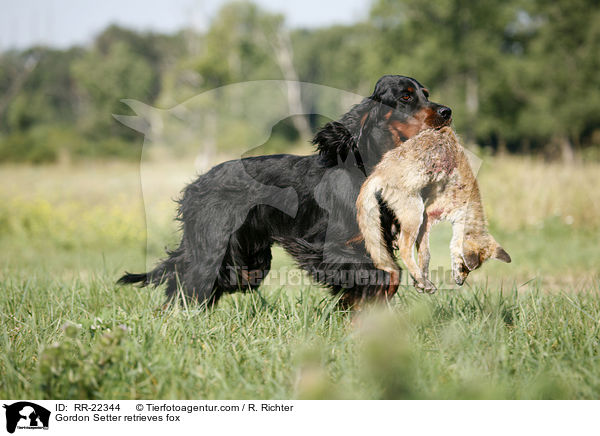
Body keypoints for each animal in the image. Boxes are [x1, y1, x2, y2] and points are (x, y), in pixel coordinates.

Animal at [119, 75, 452, 306]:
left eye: (426, 94)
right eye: (405, 96)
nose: (447, 111)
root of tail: (196, 185)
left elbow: (387, 275)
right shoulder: (328, 246)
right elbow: (385, 275)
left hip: (248, 262)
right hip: (215, 249)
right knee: (186, 283)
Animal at [356, 127, 510, 296]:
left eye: (470, 271)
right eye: (464, 267)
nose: (460, 283)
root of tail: (377, 174)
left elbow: (423, 253)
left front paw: (418, 282)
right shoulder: (428, 215)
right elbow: (426, 254)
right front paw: (422, 280)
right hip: (416, 213)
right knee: (405, 249)